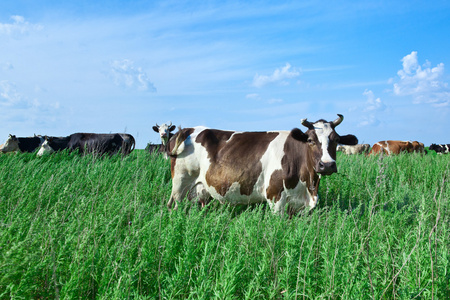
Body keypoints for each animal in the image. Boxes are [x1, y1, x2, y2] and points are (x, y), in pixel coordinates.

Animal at [165, 114, 358, 216]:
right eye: (310, 140)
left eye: (336, 140)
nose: (327, 165)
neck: (308, 184)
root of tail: (186, 129)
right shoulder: (275, 198)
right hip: (180, 185)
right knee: (173, 206)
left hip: (199, 191)